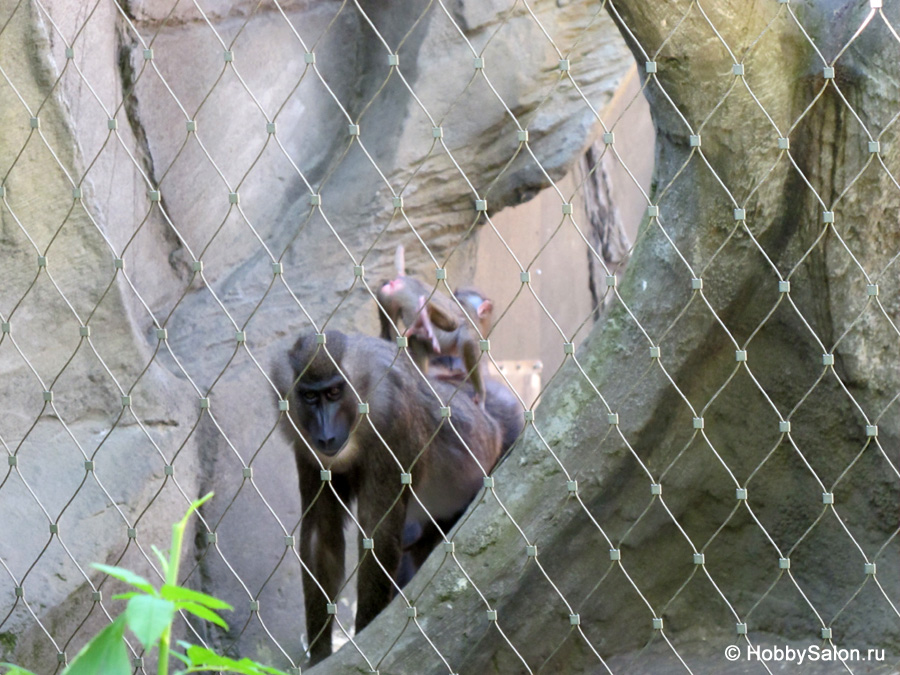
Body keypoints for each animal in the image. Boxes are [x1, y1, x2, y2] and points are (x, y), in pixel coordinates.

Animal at [276, 330, 500, 664]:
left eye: (334, 392)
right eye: (310, 397)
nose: (326, 435)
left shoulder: (392, 423)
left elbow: (377, 535)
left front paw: (362, 642)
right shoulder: (305, 443)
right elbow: (321, 536)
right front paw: (320, 654)